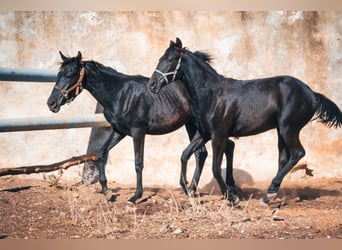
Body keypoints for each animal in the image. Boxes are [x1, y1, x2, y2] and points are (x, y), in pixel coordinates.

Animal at [46, 51, 207, 204]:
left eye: (69, 74)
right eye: (58, 74)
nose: (51, 103)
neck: (120, 93)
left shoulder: (138, 132)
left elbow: (138, 163)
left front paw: (135, 196)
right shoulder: (119, 131)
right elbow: (101, 153)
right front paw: (107, 191)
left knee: (199, 153)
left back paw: (190, 190)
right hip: (191, 125)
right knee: (201, 153)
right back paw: (191, 190)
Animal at [148, 38, 342, 204]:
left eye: (171, 59)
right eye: (160, 58)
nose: (152, 85)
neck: (212, 95)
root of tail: (313, 95)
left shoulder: (219, 135)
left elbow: (215, 167)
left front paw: (231, 196)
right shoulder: (204, 134)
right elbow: (185, 154)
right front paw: (187, 188)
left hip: (289, 129)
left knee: (298, 153)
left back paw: (270, 191)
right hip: (281, 131)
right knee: (283, 158)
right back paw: (269, 195)